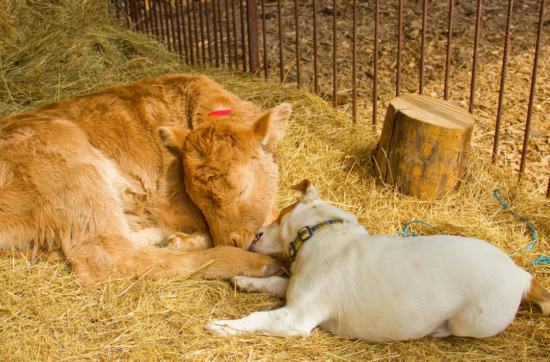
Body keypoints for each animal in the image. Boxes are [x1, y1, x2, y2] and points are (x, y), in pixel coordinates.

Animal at [207, 180, 550, 340]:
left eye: (279, 216)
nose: (256, 234)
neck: (322, 231)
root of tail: (522, 276)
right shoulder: (297, 291)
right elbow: (277, 281)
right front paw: (245, 280)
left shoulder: (297, 317)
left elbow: (256, 318)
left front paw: (223, 325)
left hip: (469, 321)